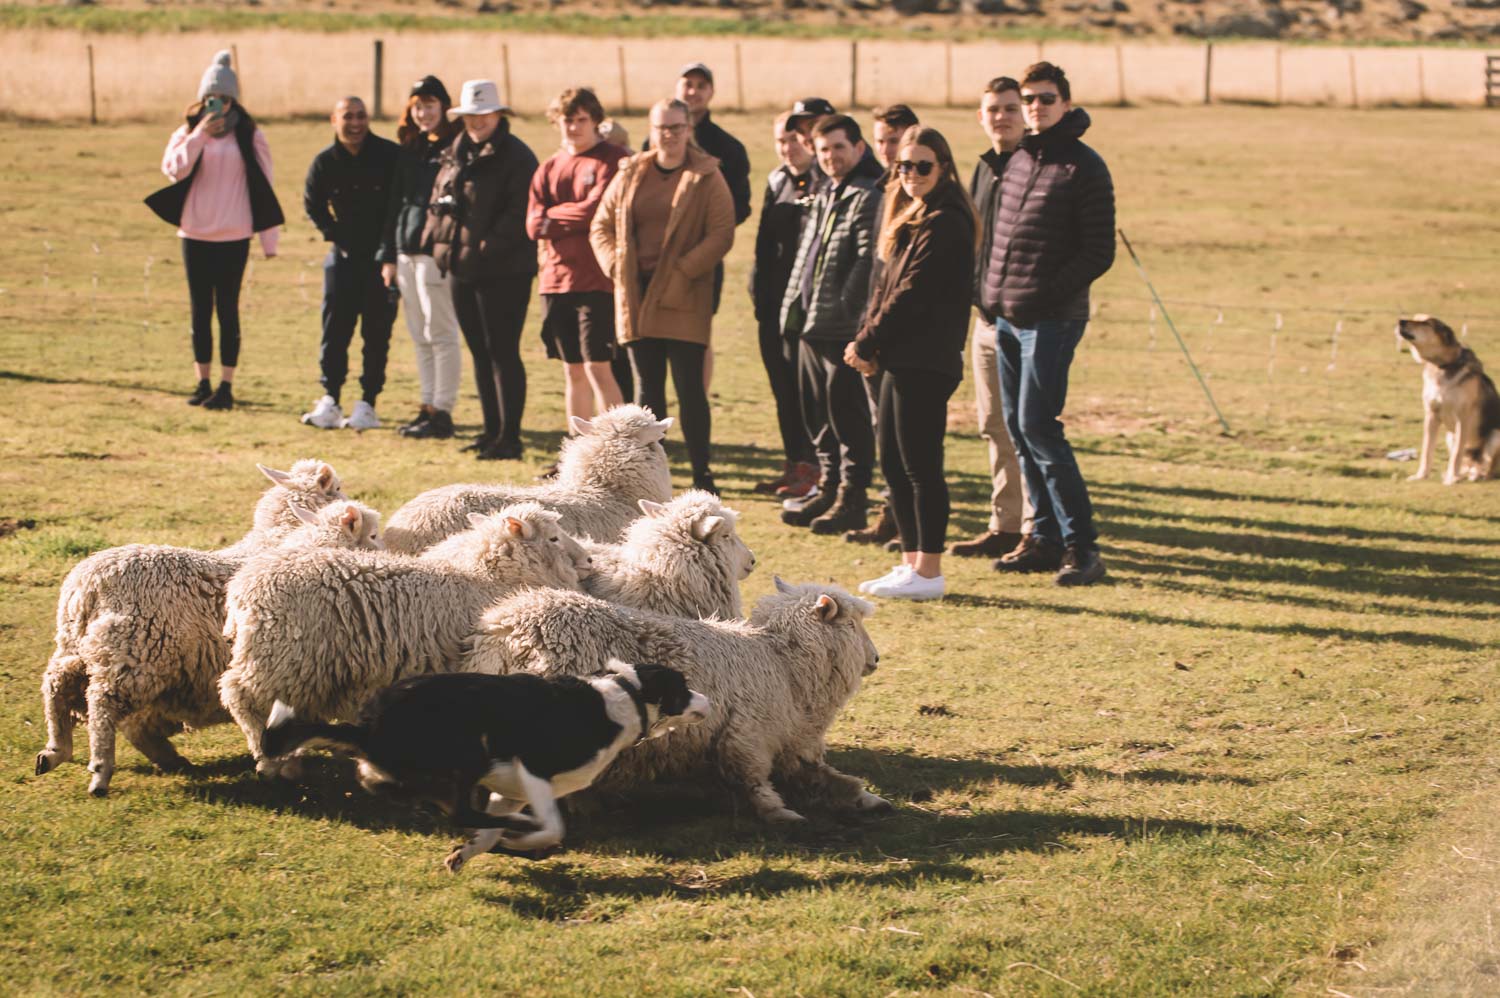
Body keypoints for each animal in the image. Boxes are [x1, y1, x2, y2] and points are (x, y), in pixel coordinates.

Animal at [34, 461, 366, 797]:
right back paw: (101, 771)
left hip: (80, 647)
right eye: (337, 488)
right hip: (135, 656)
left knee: (57, 683)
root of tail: (87, 585)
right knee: (102, 705)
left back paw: (56, 750)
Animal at [219, 503, 593, 778]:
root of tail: (242, 591)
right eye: (554, 538)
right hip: (279, 659)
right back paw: (272, 761)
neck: (490, 578)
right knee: (243, 698)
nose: (589, 560)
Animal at [465, 577, 890, 823]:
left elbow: (828, 779)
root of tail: (505, 633)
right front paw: (778, 812)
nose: (876, 658)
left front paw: (868, 800)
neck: (783, 664)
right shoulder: (746, 735)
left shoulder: (791, 745)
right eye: (852, 623)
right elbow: (752, 779)